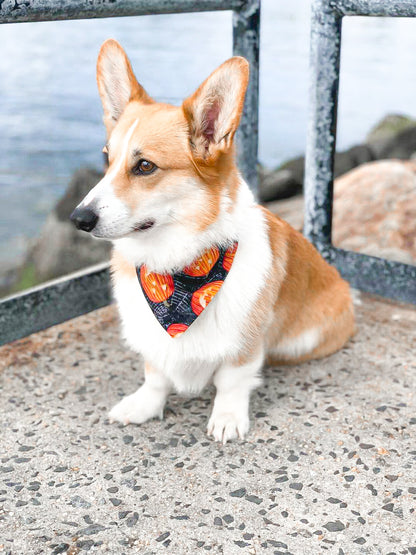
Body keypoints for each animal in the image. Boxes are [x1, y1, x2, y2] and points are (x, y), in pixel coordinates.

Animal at [70, 40, 354, 444]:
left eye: (145, 166)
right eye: (107, 159)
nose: (79, 218)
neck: (176, 265)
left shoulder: (243, 344)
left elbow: (232, 381)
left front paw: (227, 418)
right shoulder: (153, 338)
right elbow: (155, 376)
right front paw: (144, 405)